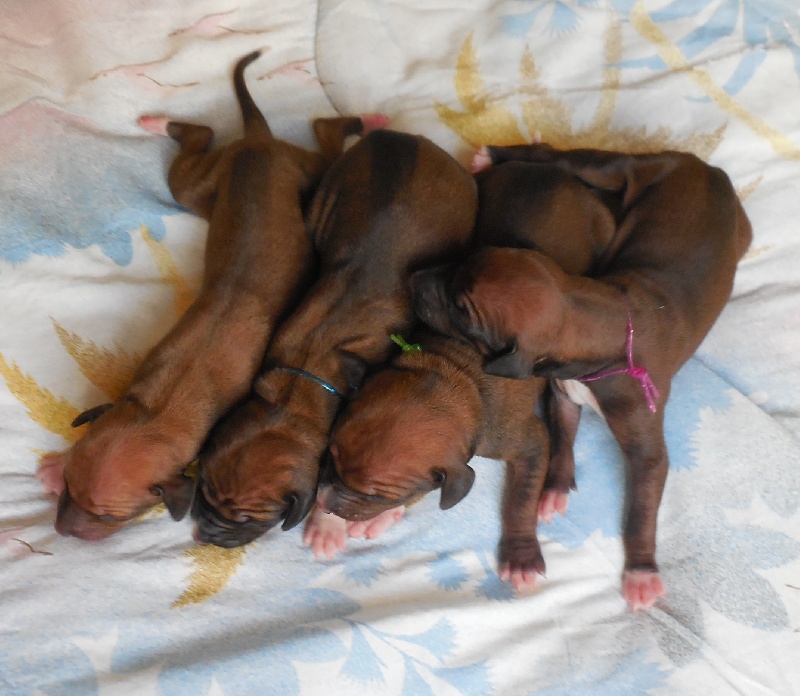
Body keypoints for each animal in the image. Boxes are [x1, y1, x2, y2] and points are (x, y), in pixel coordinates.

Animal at [37, 51, 369, 540]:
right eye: (68, 486)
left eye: (111, 516)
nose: (61, 530)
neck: (159, 411)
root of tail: (258, 141)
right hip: (200, 186)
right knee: (201, 137)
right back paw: (158, 122)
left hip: (301, 173)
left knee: (321, 143)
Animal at [316, 159, 618, 588]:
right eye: (329, 455)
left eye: (377, 495)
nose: (325, 500)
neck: (454, 374)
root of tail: (554, 168)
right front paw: (326, 523)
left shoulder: (529, 442)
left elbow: (521, 498)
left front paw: (521, 556)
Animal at [411, 143, 752, 609]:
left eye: (461, 312)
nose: (412, 280)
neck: (595, 313)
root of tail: (708, 168)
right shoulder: (564, 392)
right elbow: (562, 435)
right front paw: (554, 486)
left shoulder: (644, 445)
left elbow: (641, 508)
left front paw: (642, 571)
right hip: (622, 170)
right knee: (557, 156)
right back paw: (494, 156)